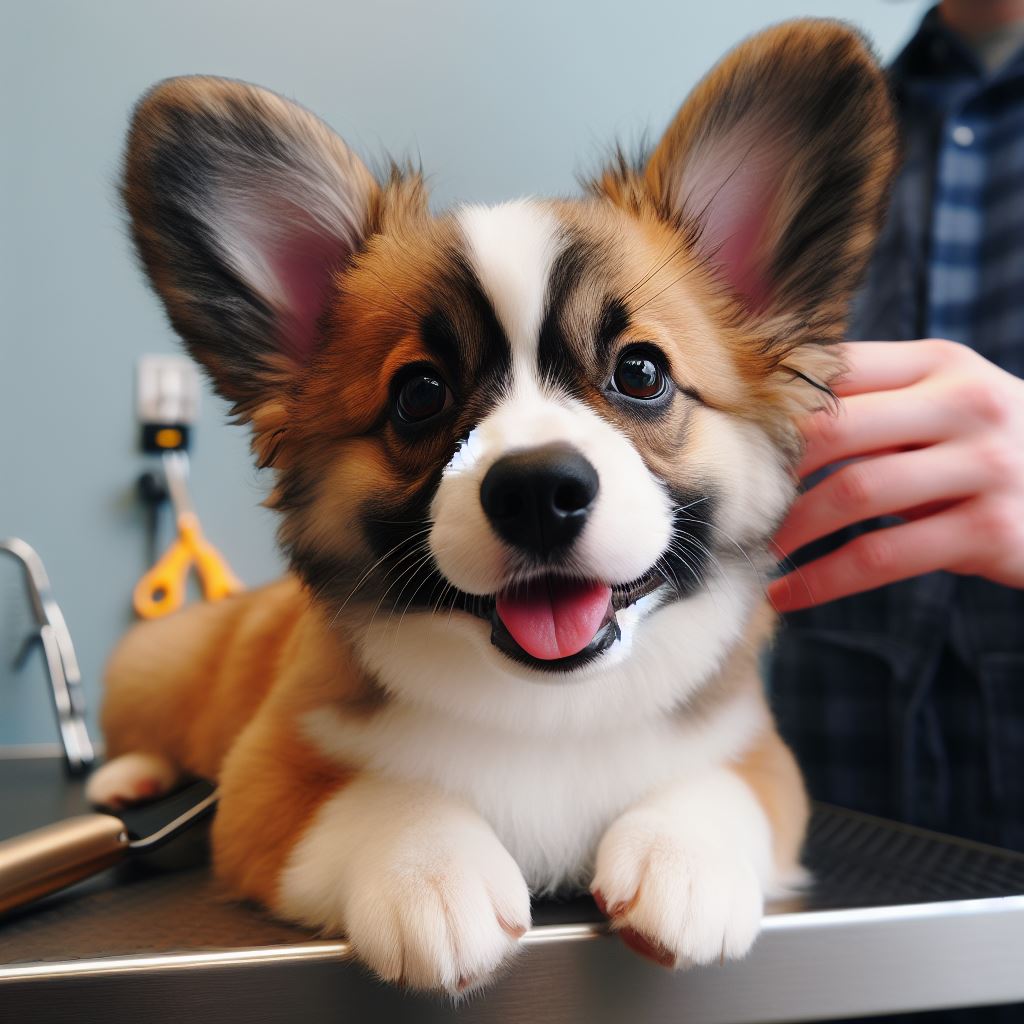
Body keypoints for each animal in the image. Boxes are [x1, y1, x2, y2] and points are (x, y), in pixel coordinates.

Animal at [88, 18, 897, 999]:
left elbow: (724, 789)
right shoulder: (261, 789)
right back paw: (123, 780)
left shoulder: (764, 763)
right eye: (419, 395)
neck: (547, 708)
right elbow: (367, 796)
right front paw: (430, 869)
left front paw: (686, 860)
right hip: (157, 670)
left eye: (641, 372)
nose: (539, 491)